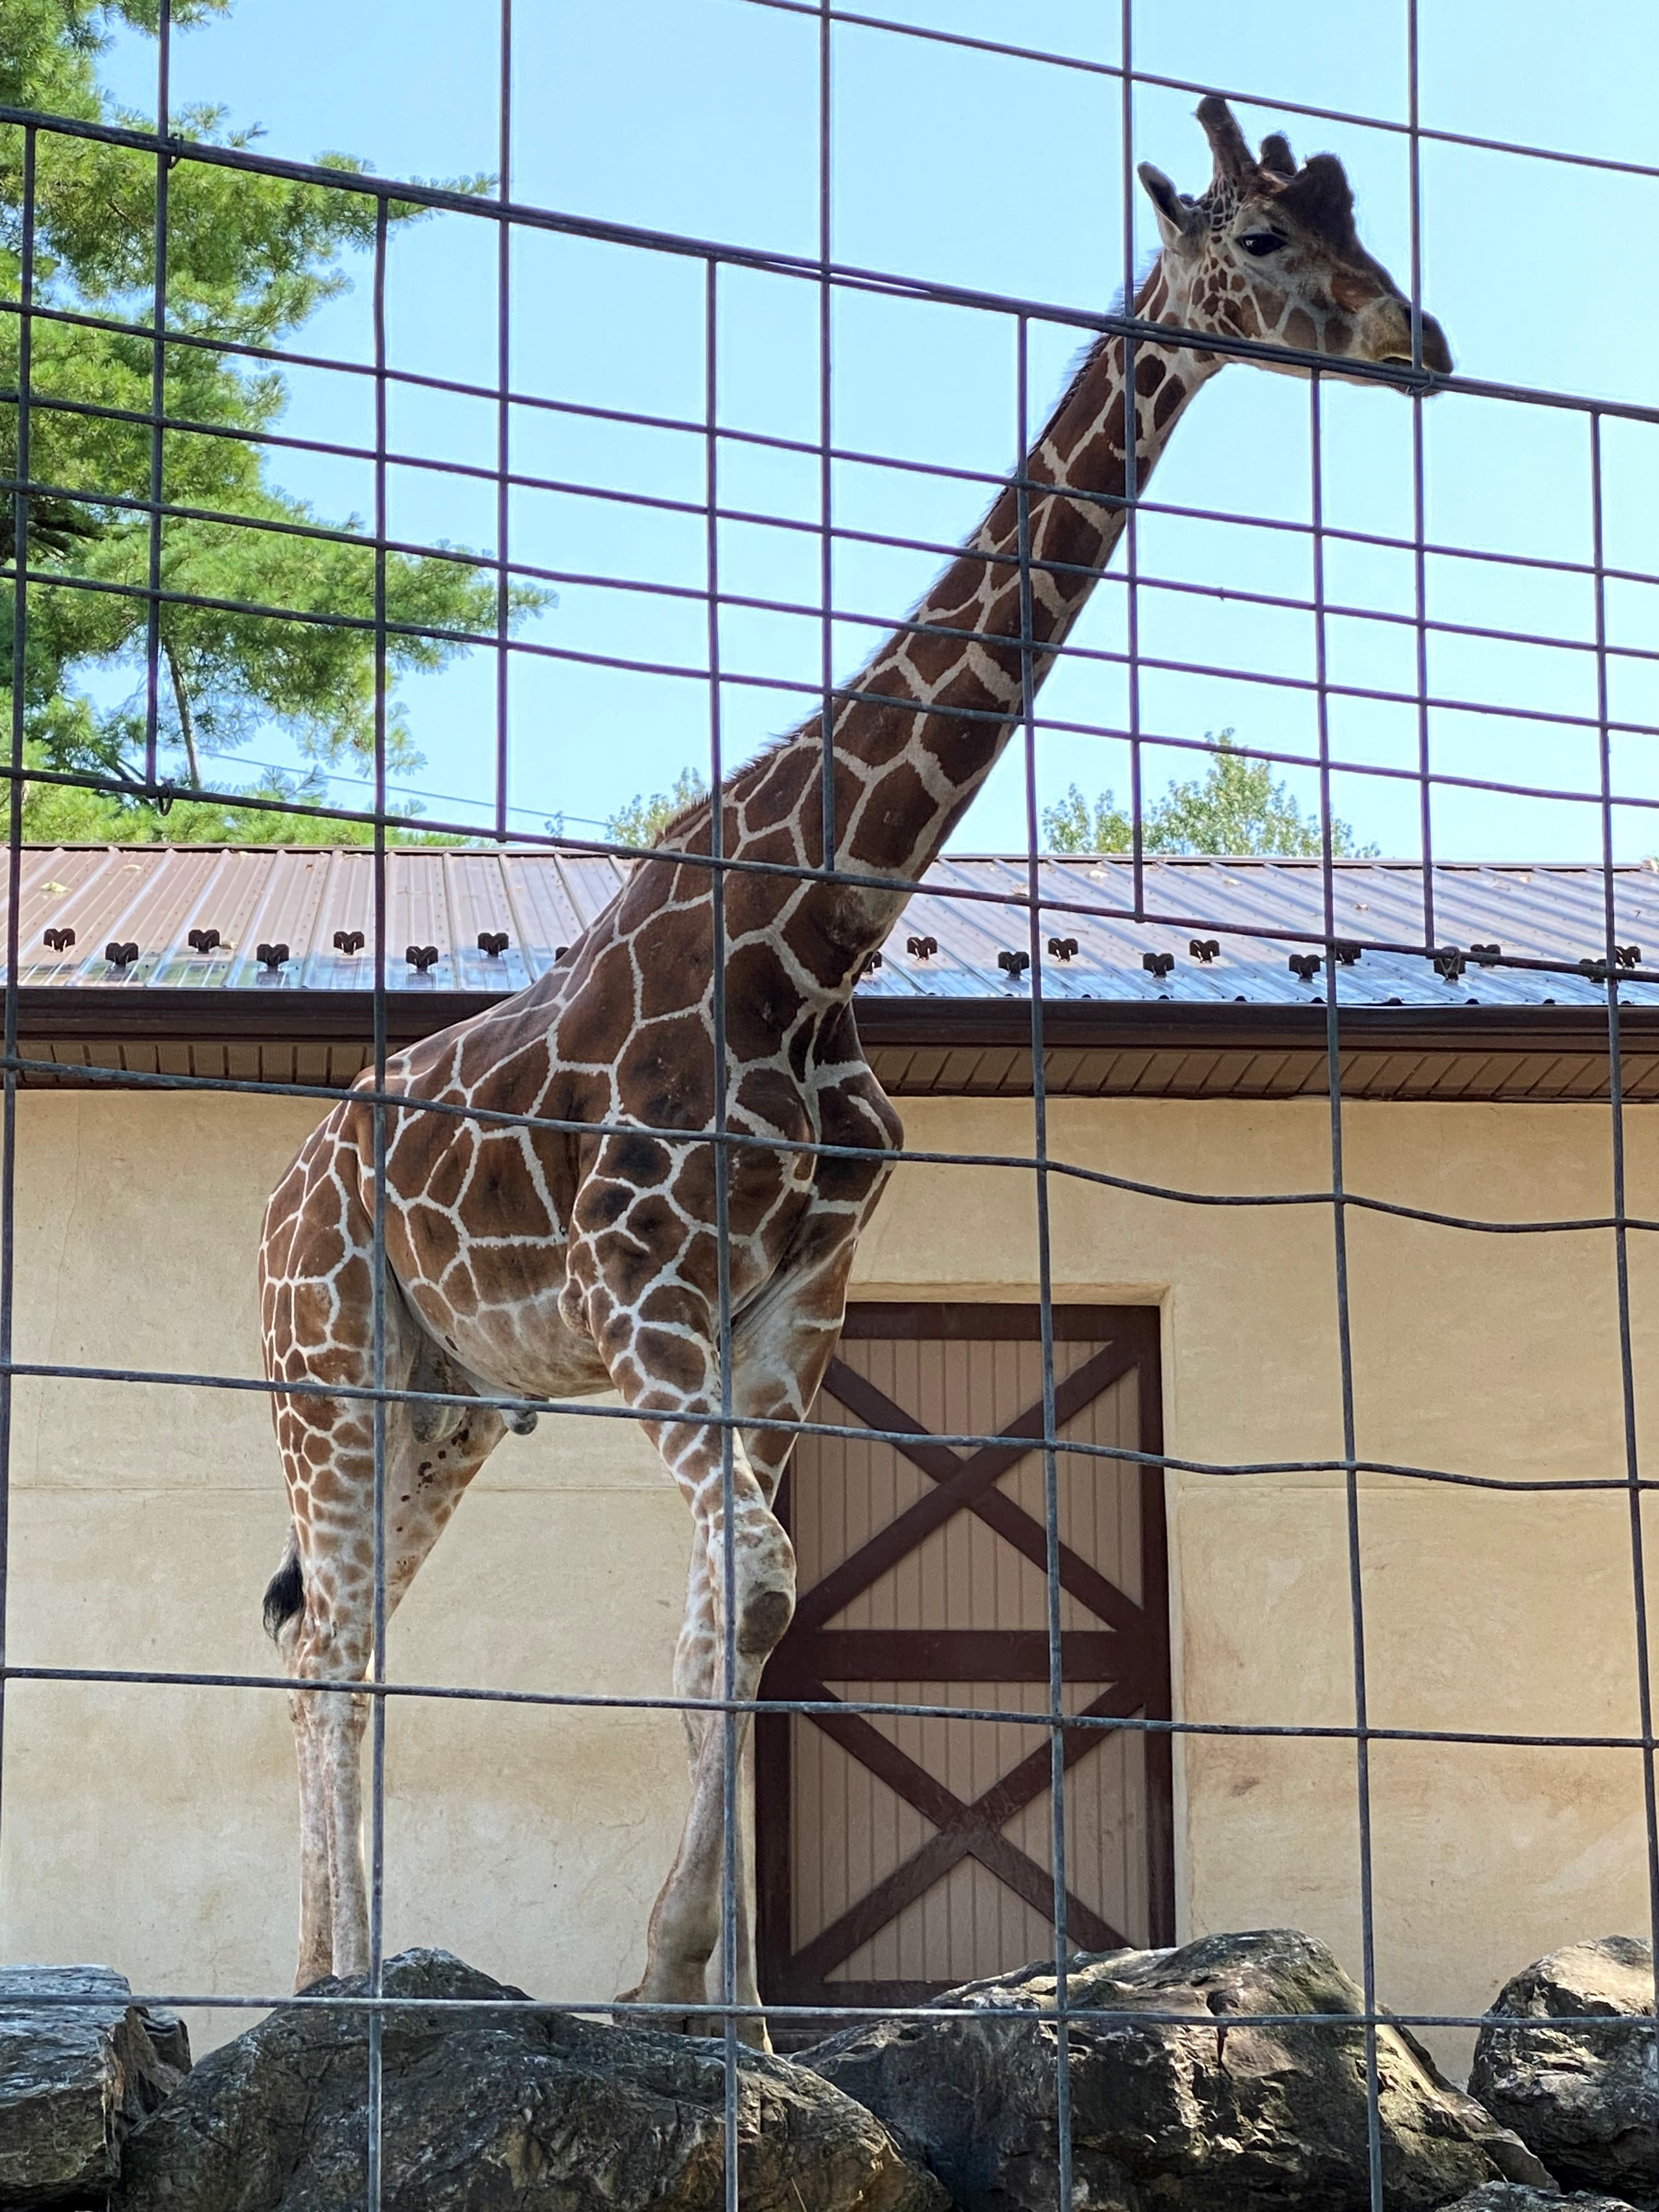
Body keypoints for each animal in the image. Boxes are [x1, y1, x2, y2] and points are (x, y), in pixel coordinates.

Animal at [259, 96, 1450, 2039]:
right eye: (1267, 238)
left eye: (1361, 223)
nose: (1422, 344)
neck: (816, 934)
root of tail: (278, 1195)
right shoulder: (653, 1296)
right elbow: (753, 1589)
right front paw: (678, 1973)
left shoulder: (789, 1303)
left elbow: (728, 1630)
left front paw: (729, 2016)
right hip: (326, 1371)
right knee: (334, 1642)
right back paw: (328, 1993)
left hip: (453, 1398)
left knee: (345, 1635)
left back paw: (349, 1977)